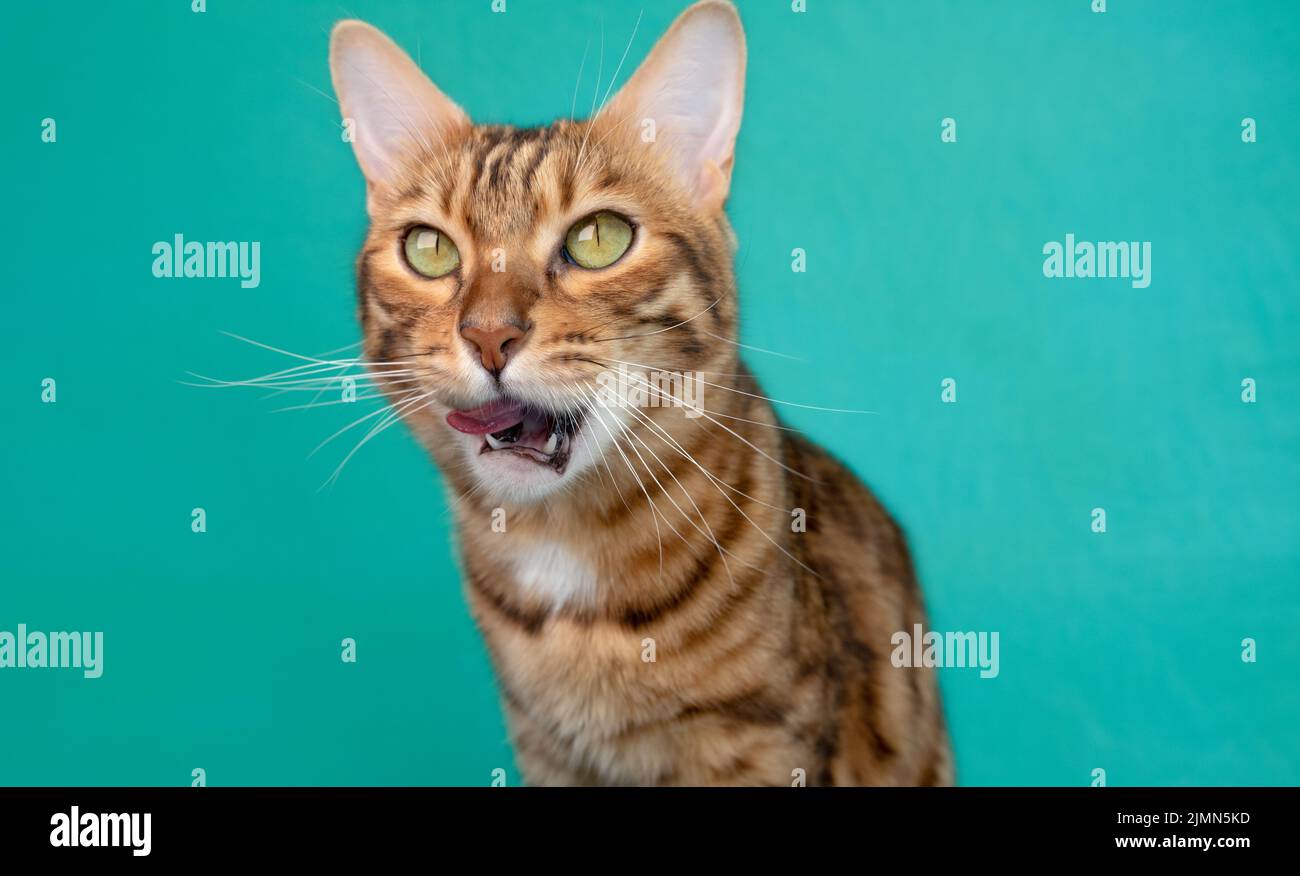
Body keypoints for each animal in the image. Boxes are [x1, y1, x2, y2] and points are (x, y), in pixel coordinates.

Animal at [325, 0, 956, 790]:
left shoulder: (761, 749)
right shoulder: (546, 752)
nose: (490, 336)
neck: (563, 550)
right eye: (429, 249)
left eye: (600, 238)